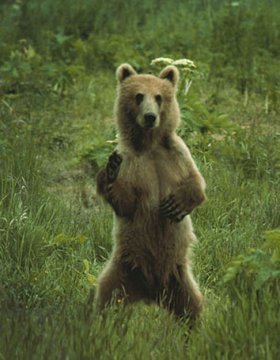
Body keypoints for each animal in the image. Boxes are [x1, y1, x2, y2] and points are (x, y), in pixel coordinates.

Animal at [95, 62, 206, 324]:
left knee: (192, 305)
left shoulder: (176, 153)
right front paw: (110, 172)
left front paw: (175, 205)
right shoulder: (131, 161)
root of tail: (152, 293)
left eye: (159, 97)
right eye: (138, 96)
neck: (150, 144)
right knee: (106, 296)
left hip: (180, 276)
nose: (150, 117)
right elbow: (126, 202)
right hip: (123, 268)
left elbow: (196, 182)